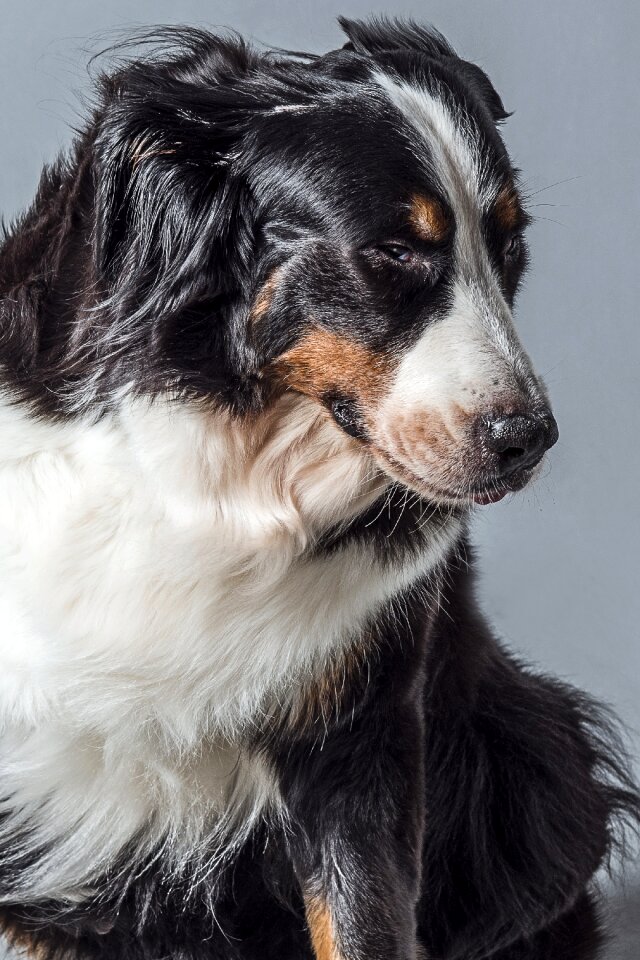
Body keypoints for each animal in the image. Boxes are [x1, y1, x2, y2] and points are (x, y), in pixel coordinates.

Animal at [0, 13, 636, 960]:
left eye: (510, 246)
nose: (528, 439)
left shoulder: (361, 732)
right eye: (395, 251)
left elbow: (362, 918)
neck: (227, 468)